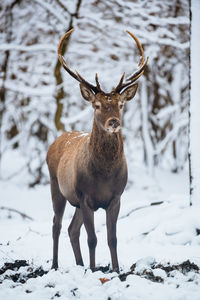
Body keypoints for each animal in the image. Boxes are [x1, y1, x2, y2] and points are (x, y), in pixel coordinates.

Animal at [46, 28, 148, 274]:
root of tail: (57, 139)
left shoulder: (116, 197)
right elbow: (92, 238)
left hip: (74, 199)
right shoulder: (85, 196)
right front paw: (93, 271)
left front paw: (116, 270)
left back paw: (79, 264)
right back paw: (55, 265)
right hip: (56, 186)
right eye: (97, 105)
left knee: (72, 229)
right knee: (56, 225)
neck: (104, 176)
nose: (114, 122)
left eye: (121, 104)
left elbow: (112, 238)